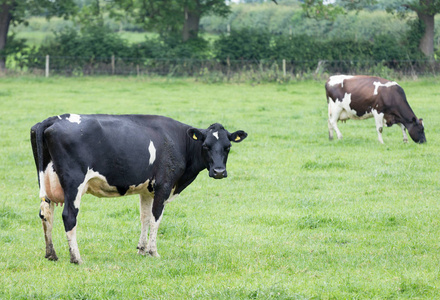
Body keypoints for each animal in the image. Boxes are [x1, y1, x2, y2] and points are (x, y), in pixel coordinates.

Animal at [31, 113, 248, 264]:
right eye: (206, 146)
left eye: (228, 147)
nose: (219, 171)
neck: (177, 141)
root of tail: (52, 119)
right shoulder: (163, 185)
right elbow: (156, 218)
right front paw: (153, 251)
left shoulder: (146, 190)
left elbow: (145, 218)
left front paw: (141, 250)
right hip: (74, 183)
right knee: (69, 216)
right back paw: (76, 258)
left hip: (46, 182)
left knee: (46, 213)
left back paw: (51, 254)